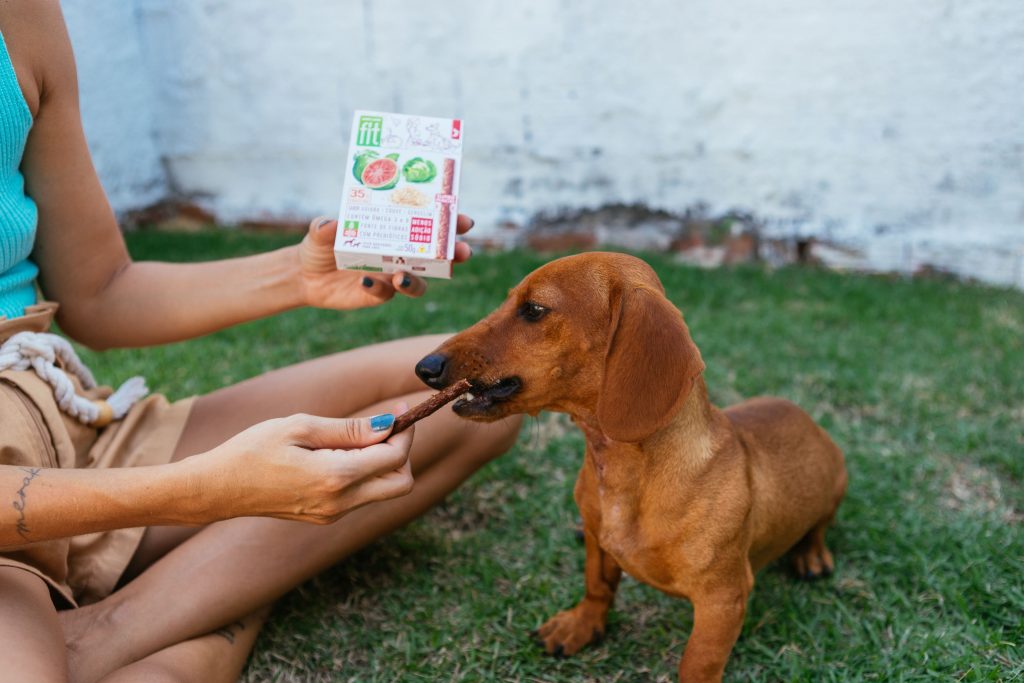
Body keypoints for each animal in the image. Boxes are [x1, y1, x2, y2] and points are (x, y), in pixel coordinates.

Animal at [411, 253, 843, 679]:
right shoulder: (598, 545)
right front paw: (581, 625)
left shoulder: (722, 600)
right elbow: (597, 587)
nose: (424, 367)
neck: (624, 472)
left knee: (820, 526)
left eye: (533, 309)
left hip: (837, 484)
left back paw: (812, 556)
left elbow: (698, 661)